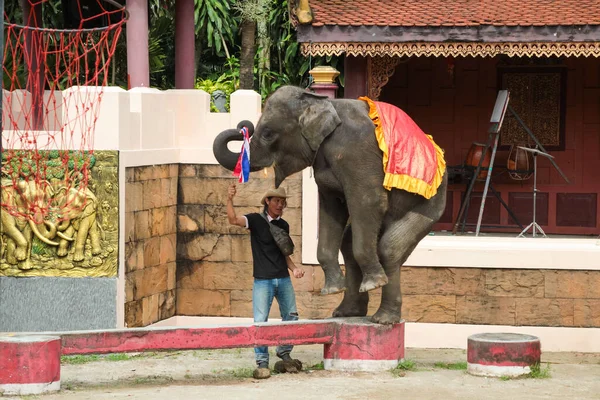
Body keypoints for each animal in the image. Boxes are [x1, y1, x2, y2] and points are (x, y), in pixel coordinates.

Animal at [213, 86, 448, 324]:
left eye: (268, 133)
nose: (243, 126)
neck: (321, 102)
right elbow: (332, 207)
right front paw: (332, 290)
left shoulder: (356, 151)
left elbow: (369, 201)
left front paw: (373, 284)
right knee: (350, 244)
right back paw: (349, 313)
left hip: (432, 202)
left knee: (389, 248)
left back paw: (382, 319)